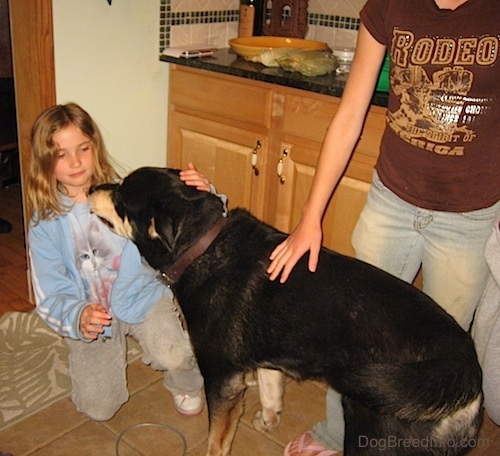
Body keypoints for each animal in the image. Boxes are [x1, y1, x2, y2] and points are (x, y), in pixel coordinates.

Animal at [90, 167, 484, 456]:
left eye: (121, 195)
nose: (92, 187)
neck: (203, 246)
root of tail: (461, 365)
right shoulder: (263, 356)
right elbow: (270, 388)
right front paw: (268, 419)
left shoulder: (221, 377)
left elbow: (217, 439)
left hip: (374, 435)